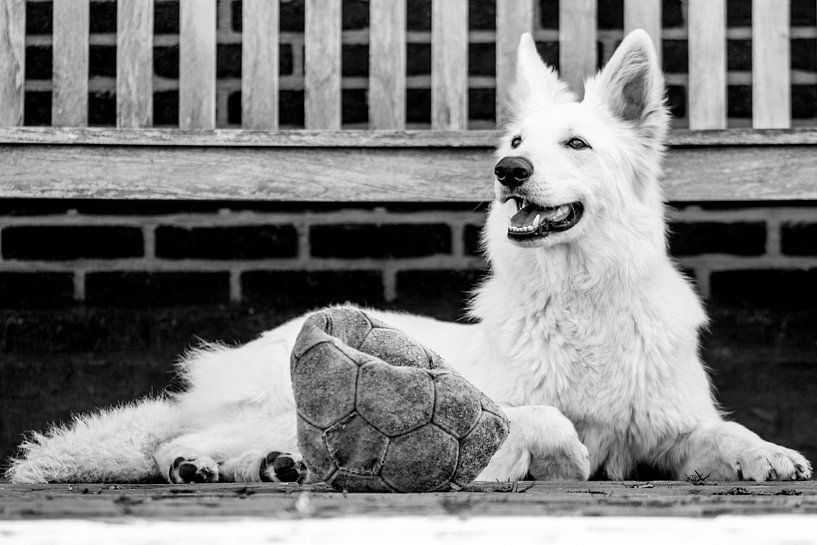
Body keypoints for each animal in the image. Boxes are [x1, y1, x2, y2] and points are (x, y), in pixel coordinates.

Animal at [6, 31, 808, 484]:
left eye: (576, 143)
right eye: (518, 144)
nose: (507, 172)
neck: (579, 298)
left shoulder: (669, 425)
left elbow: (720, 430)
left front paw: (768, 452)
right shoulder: (512, 416)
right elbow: (540, 419)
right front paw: (559, 453)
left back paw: (272, 466)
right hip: (279, 399)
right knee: (180, 433)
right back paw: (198, 461)